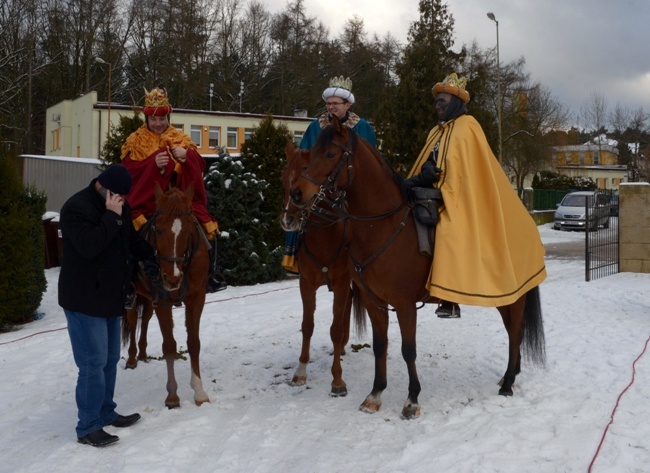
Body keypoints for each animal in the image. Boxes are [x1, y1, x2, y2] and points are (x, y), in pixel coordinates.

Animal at [122, 183, 210, 408]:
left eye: (188, 230)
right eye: (159, 230)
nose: (172, 278)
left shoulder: (196, 297)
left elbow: (194, 342)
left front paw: (199, 392)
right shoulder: (162, 300)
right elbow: (169, 346)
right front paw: (172, 396)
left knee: (145, 320)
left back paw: (143, 353)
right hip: (135, 297)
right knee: (133, 320)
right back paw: (132, 358)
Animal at [280, 139, 364, 394]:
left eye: (306, 173)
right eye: (284, 177)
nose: (288, 220)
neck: (324, 236)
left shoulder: (341, 282)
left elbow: (334, 330)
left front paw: (337, 380)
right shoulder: (306, 284)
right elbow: (307, 325)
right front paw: (300, 372)